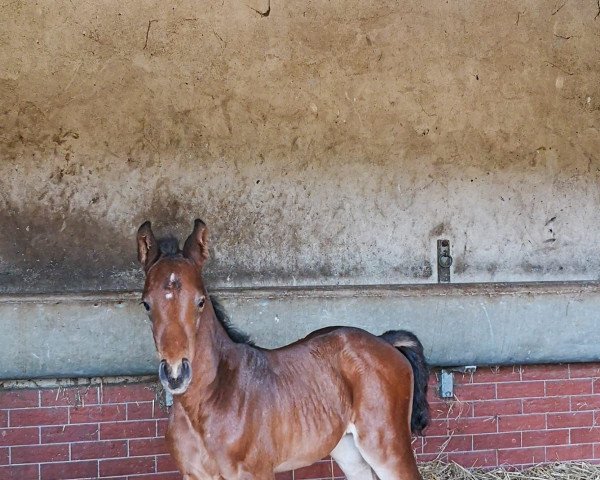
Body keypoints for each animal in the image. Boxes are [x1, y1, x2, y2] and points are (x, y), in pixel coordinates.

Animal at [137, 219, 426, 478]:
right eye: (146, 304)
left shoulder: (256, 473)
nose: (176, 373)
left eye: (200, 301)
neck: (210, 400)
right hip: (346, 448)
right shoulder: (194, 475)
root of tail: (384, 340)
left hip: (386, 445)